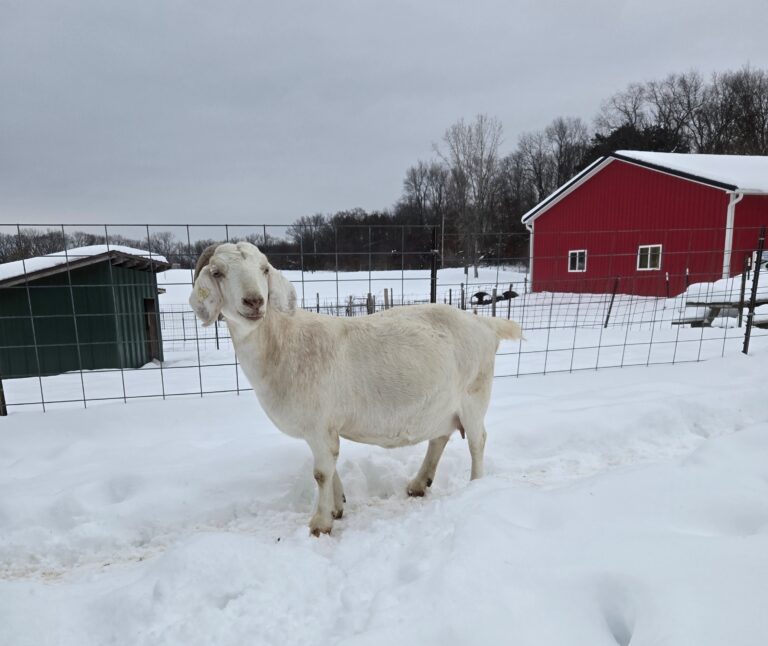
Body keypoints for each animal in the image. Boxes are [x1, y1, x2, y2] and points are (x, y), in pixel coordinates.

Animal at [190, 242, 522, 536]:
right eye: (218, 272)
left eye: (264, 269)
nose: (254, 301)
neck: (282, 342)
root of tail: (486, 325)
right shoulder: (322, 427)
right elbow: (331, 465)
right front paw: (337, 507)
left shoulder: (319, 424)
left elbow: (321, 472)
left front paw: (320, 524)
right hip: (441, 403)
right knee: (440, 436)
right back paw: (418, 484)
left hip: (475, 394)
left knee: (477, 441)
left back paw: (476, 485)